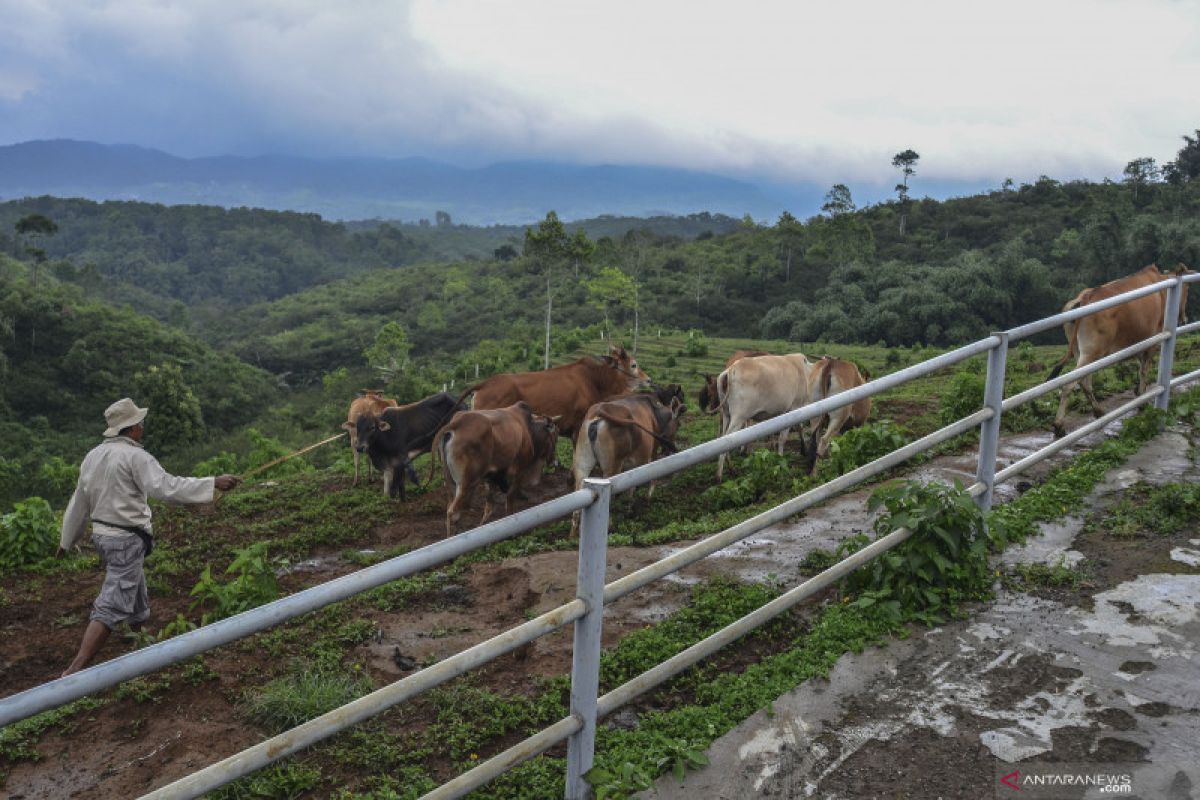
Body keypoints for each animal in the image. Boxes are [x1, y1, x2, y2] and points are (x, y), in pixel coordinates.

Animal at [434, 400, 559, 537]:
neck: (529, 430)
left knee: (452, 510)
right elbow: (509, 501)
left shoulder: (491, 478)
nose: (555, 462)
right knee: (453, 513)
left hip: (452, 484)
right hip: (467, 483)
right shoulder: (518, 472)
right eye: (555, 436)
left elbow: (489, 508)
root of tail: (457, 423)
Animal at [710, 352, 816, 482]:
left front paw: (802, 450)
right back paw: (719, 475)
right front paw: (780, 458)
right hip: (738, 417)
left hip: (726, 414)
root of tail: (731, 370)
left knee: (722, 438)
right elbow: (783, 438)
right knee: (727, 440)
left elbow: (795, 429)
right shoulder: (793, 409)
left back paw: (730, 468)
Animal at [1046, 266, 1185, 434]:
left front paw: (1138, 391)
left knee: (1085, 382)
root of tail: (1085, 297)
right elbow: (1144, 370)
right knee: (1070, 384)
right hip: (1092, 352)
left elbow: (1140, 367)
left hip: (1081, 353)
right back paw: (1059, 425)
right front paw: (1142, 401)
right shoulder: (1152, 341)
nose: (1184, 318)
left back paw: (1098, 411)